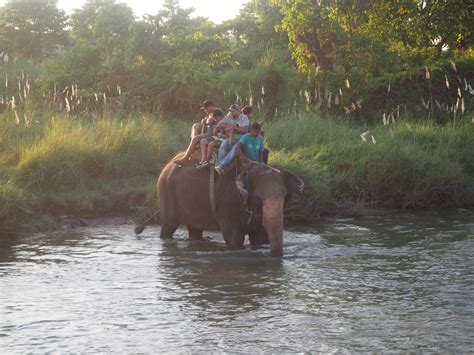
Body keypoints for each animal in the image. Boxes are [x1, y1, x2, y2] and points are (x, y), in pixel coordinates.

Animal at [135, 152, 304, 256]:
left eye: (285, 197)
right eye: (258, 198)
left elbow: (259, 238)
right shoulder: (228, 201)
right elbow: (233, 238)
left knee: (194, 229)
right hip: (166, 192)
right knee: (168, 227)